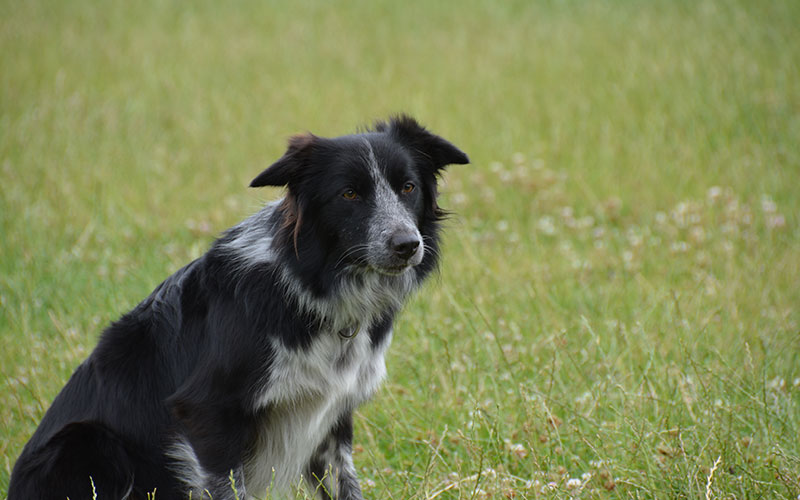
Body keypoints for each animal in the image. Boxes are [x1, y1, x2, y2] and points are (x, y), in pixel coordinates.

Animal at [7, 116, 468, 500]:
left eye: (407, 187)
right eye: (349, 194)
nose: (407, 245)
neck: (311, 284)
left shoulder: (331, 415)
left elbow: (346, 483)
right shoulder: (208, 413)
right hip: (90, 443)